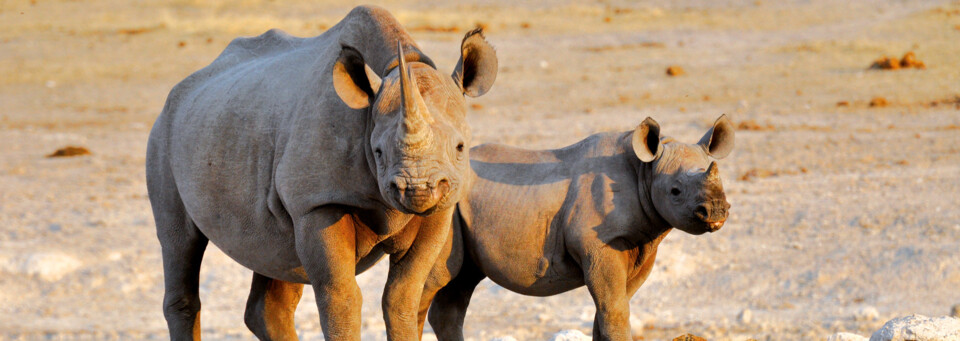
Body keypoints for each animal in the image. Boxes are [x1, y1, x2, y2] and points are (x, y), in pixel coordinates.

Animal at [146, 5, 498, 340]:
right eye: (378, 152)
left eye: (461, 147)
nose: (418, 189)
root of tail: (178, 91)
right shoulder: (317, 203)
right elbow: (342, 297)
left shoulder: (439, 211)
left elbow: (402, 297)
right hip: (163, 134)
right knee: (179, 241)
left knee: (277, 259)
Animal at [422, 115, 736, 338]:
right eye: (675, 191)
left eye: (722, 183)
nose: (717, 211)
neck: (644, 172)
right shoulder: (599, 244)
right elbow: (615, 310)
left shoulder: (643, 245)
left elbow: (611, 308)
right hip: (443, 204)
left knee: (459, 283)